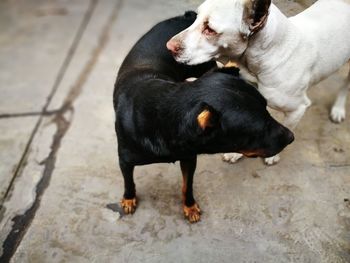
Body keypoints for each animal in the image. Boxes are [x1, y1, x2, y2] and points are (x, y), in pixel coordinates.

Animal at [113, 11, 294, 224]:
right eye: (257, 130)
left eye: (267, 109)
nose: (291, 137)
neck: (161, 116)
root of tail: (187, 16)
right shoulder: (125, 159)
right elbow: (128, 181)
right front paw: (128, 198)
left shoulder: (189, 158)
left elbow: (187, 185)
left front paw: (190, 206)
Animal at [166, 0, 350, 165]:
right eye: (196, 18)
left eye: (210, 30)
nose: (168, 46)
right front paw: (235, 153)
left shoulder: (298, 109)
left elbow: (286, 127)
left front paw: (273, 155)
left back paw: (338, 109)